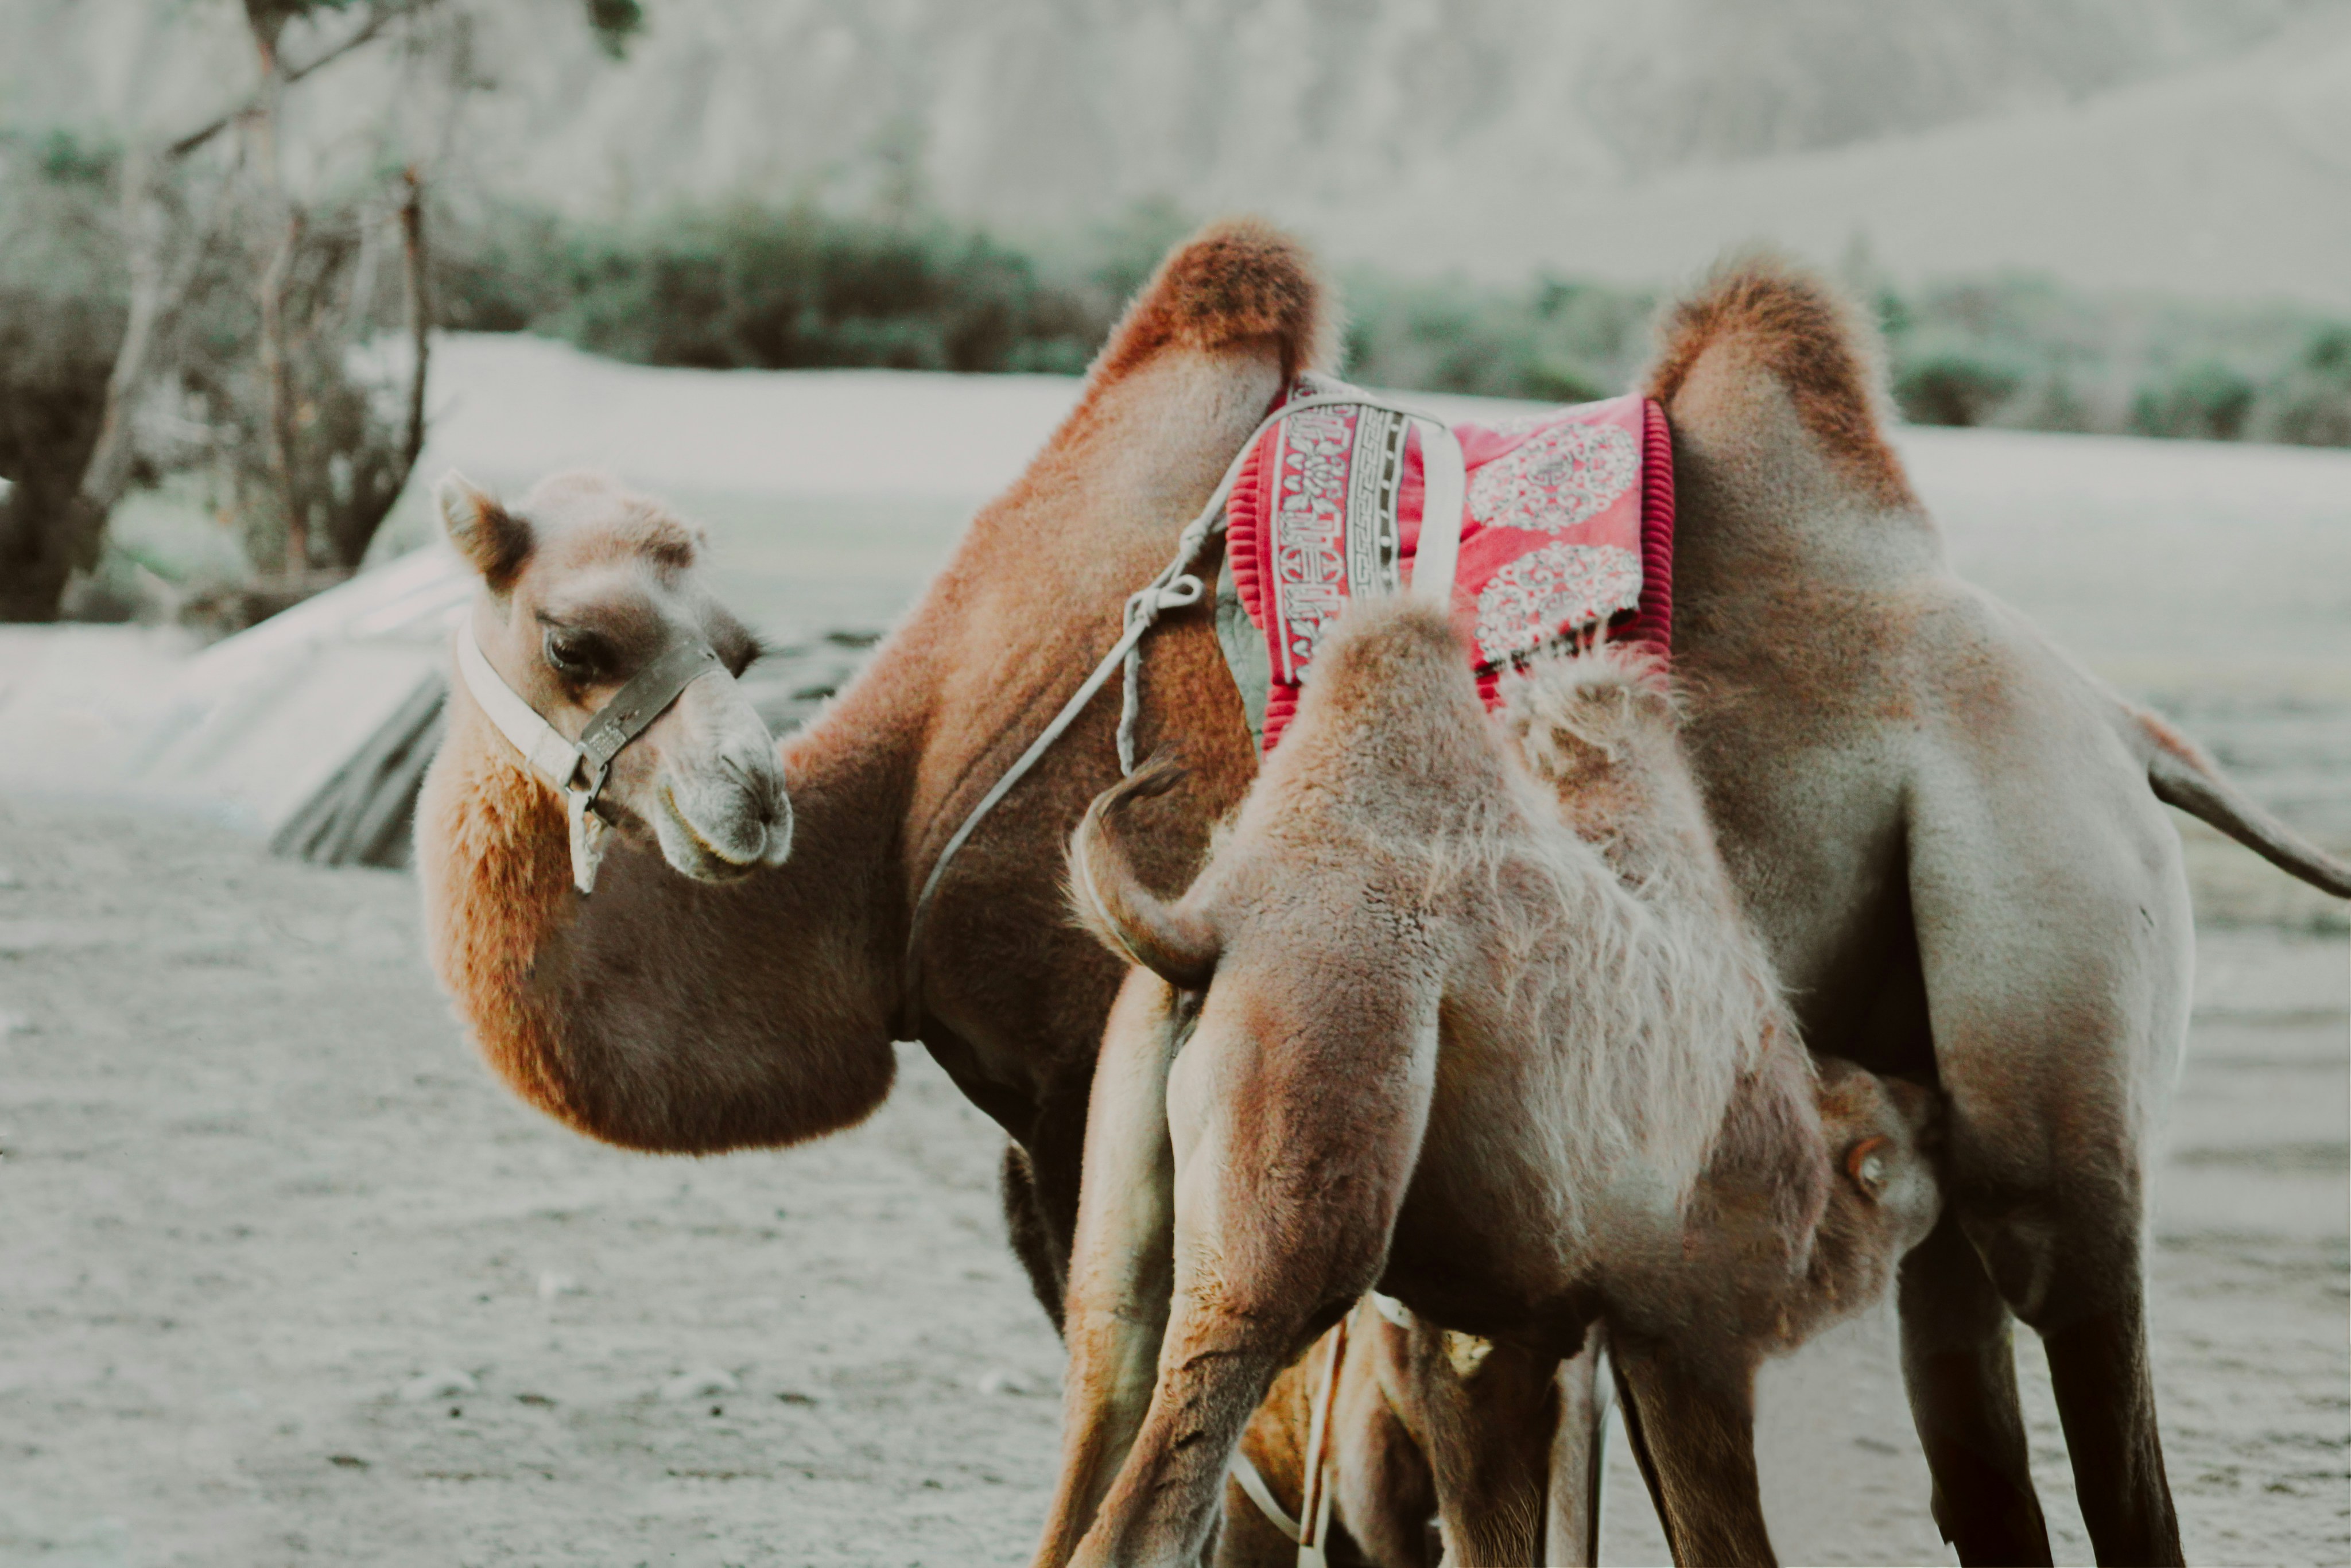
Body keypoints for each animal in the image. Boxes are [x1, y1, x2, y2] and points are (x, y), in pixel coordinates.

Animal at [1042, 604, 1945, 1566]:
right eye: (1906, 1153)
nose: (1939, 1101)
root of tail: (1208, 924)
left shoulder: (1496, 1335)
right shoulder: (1689, 1330)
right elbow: (1717, 1532)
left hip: (1122, 1251)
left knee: (1103, 1395)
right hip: (1305, 1161)